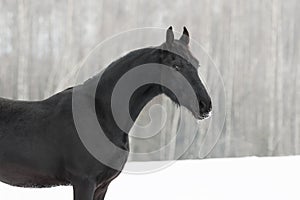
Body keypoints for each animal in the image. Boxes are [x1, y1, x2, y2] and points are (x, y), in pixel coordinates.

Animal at [0, 27, 211, 200]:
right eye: (176, 66)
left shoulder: (102, 186)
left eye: (197, 64)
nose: (205, 105)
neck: (102, 114)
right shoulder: (84, 182)